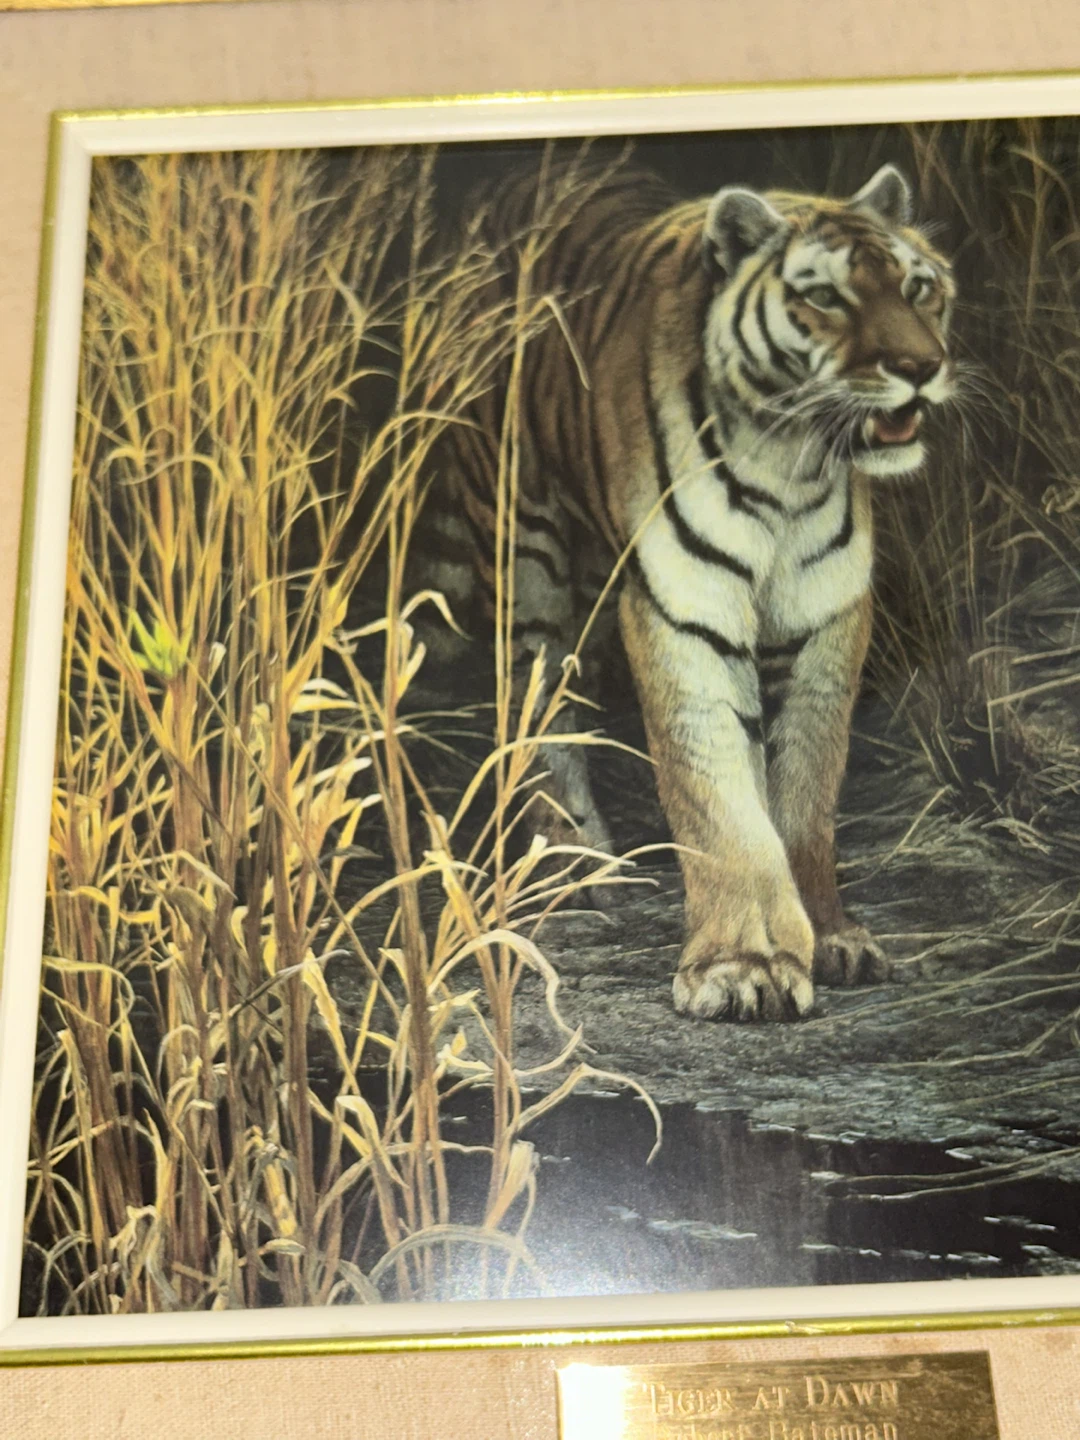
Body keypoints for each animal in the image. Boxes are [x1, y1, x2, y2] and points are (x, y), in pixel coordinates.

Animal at [427, 155, 956, 1023]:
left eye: (919, 288)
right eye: (824, 296)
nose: (920, 368)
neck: (794, 464)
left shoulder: (825, 622)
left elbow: (805, 796)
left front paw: (832, 938)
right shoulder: (685, 614)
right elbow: (719, 802)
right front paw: (743, 967)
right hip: (524, 551)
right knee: (540, 712)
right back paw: (575, 866)